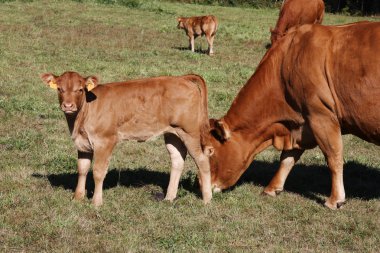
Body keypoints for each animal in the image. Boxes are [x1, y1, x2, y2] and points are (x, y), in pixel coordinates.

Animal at [42, 70, 214, 206]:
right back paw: (169, 198)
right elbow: (82, 169)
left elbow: (98, 171)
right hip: (173, 133)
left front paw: (96, 202)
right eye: (60, 89)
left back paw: (207, 200)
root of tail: (182, 78)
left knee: (203, 161)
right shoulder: (83, 143)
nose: (68, 106)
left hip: (190, 132)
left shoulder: (105, 141)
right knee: (177, 160)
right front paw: (77, 198)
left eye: (80, 90)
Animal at [209, 22, 380, 210]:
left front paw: (335, 200)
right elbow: (287, 158)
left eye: (210, 152)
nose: (205, 188)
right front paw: (272, 188)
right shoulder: (301, 123)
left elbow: (333, 157)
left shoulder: (320, 115)